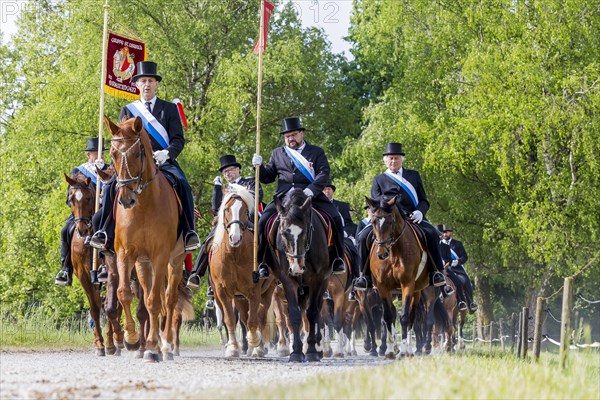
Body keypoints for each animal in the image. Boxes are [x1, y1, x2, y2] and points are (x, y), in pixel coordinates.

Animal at [63, 173, 123, 356]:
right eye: (71, 199)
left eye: (89, 197)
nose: (81, 229)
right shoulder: (84, 276)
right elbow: (95, 308)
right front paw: (99, 344)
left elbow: (111, 305)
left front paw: (111, 342)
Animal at [104, 115, 185, 362]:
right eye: (112, 154)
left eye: (136, 154)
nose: (125, 199)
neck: (143, 206)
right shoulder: (124, 253)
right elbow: (124, 294)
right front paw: (130, 340)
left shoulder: (160, 256)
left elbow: (155, 301)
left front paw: (150, 347)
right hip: (142, 264)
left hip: (174, 260)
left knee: (168, 299)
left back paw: (165, 346)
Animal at [210, 189, 276, 358]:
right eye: (226, 209)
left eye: (246, 211)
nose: (235, 237)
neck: (234, 255)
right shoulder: (222, 292)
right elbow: (230, 320)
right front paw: (233, 348)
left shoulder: (254, 291)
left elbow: (254, 320)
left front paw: (255, 343)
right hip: (239, 298)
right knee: (245, 318)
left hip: (267, 292)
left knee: (260, 317)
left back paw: (258, 347)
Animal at [272, 190, 332, 362]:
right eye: (283, 233)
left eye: (305, 231)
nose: (297, 268)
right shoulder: (287, 281)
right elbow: (293, 315)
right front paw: (296, 352)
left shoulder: (317, 280)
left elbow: (312, 314)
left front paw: (311, 351)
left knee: (317, 312)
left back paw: (319, 348)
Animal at [366, 195, 436, 358]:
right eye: (373, 222)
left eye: (390, 221)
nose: (381, 254)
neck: (393, 252)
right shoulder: (382, 287)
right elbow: (388, 317)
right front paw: (391, 350)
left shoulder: (407, 284)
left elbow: (404, 317)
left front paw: (403, 351)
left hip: (418, 290)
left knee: (412, 316)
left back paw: (410, 349)